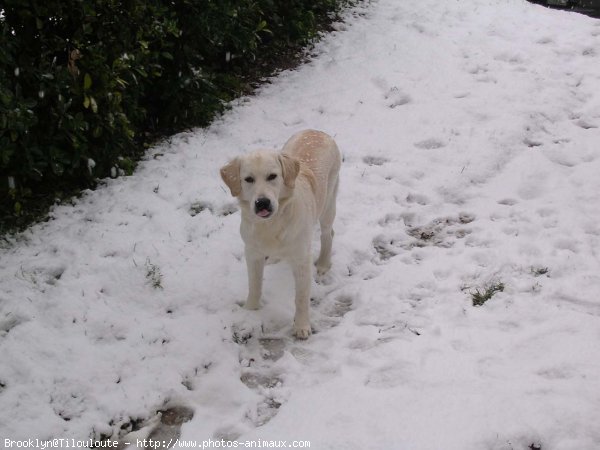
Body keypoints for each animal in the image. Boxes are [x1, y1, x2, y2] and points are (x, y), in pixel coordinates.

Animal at [220, 129, 342, 338]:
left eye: (272, 176)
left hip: (328, 204)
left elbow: (301, 298)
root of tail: (317, 131)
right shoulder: (252, 253)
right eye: (248, 179)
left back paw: (323, 264)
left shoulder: (302, 260)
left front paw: (301, 326)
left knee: (328, 233)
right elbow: (254, 285)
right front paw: (250, 311)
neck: (271, 224)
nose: (262, 202)